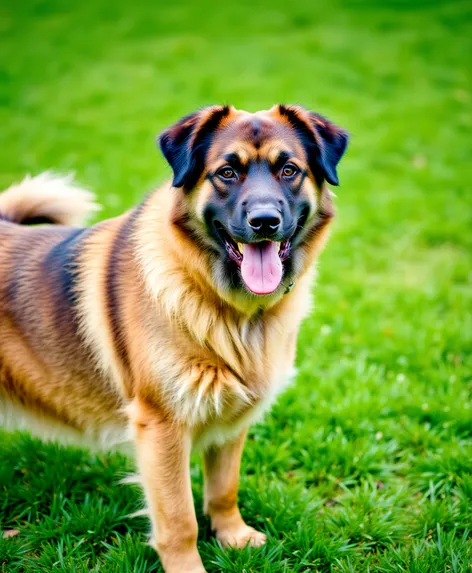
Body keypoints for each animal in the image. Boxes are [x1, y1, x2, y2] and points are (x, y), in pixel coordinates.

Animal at [0, 105, 346, 568]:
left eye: (288, 170)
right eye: (227, 172)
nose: (264, 222)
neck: (231, 309)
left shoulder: (233, 416)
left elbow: (223, 488)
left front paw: (232, 536)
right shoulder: (162, 427)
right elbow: (180, 519)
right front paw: (188, 568)